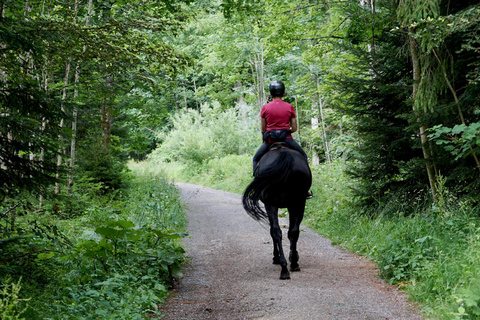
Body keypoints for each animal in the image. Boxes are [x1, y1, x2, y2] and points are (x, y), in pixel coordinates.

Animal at [242, 143, 314, 280]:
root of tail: (284, 154)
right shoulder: (293, 205)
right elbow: (291, 231)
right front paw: (292, 256)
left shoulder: (271, 205)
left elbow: (273, 231)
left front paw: (276, 256)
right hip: (298, 203)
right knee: (292, 231)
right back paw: (292, 264)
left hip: (272, 204)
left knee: (276, 231)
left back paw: (284, 266)